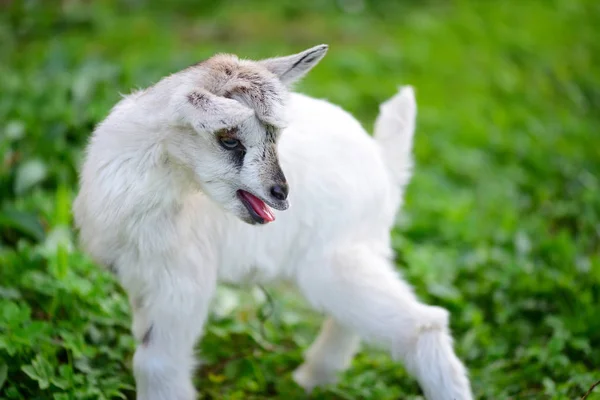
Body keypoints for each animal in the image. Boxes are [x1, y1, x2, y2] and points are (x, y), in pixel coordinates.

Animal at [72, 44, 474, 400]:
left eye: (274, 137)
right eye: (229, 139)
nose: (281, 192)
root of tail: (383, 162)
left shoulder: (182, 283)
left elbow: (155, 363)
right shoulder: (141, 279)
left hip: (332, 262)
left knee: (424, 323)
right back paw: (312, 380)